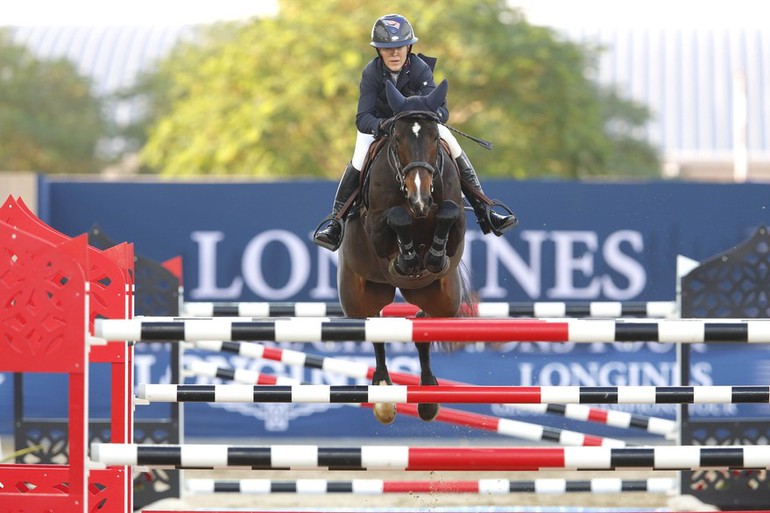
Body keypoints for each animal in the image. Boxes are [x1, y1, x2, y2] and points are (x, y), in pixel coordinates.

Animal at [338, 80, 472, 424]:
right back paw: (384, 396)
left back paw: (427, 397)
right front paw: (407, 258)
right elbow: (396, 219)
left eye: (435, 137)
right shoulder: (375, 225)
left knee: (423, 325)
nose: (420, 198)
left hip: (443, 299)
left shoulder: (457, 225)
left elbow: (449, 213)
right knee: (375, 328)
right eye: (397, 138)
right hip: (359, 299)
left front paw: (432, 255)